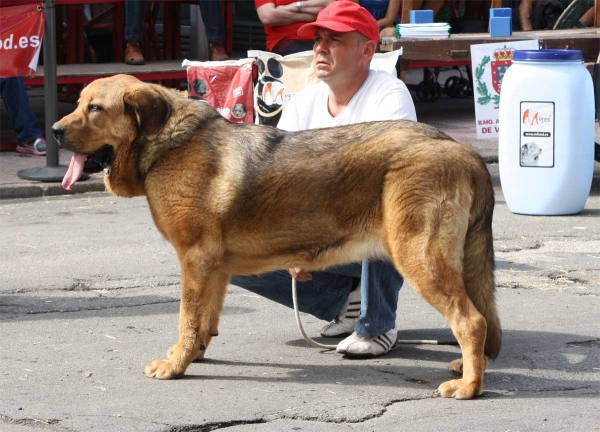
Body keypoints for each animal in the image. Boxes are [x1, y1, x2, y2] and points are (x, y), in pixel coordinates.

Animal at [54, 73, 500, 398]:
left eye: (94, 108)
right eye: (78, 103)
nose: (56, 131)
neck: (165, 144)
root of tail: (465, 151)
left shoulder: (194, 260)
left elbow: (186, 318)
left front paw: (175, 366)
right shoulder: (214, 268)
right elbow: (204, 320)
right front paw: (193, 356)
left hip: (418, 255)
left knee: (471, 321)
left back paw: (469, 386)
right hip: (457, 260)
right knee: (480, 316)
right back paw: (468, 366)